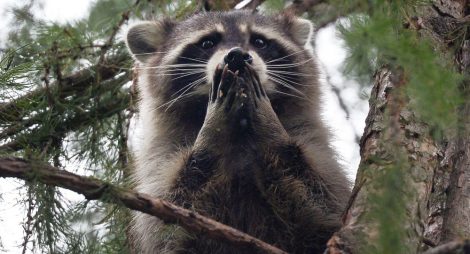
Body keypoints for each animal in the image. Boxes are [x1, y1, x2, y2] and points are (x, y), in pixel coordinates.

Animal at [126, 10, 350, 254]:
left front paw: (271, 130)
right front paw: (212, 133)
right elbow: (169, 225)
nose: (237, 56)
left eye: (259, 41)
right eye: (207, 43)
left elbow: (322, 210)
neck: (240, 130)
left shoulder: (312, 138)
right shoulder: (161, 155)